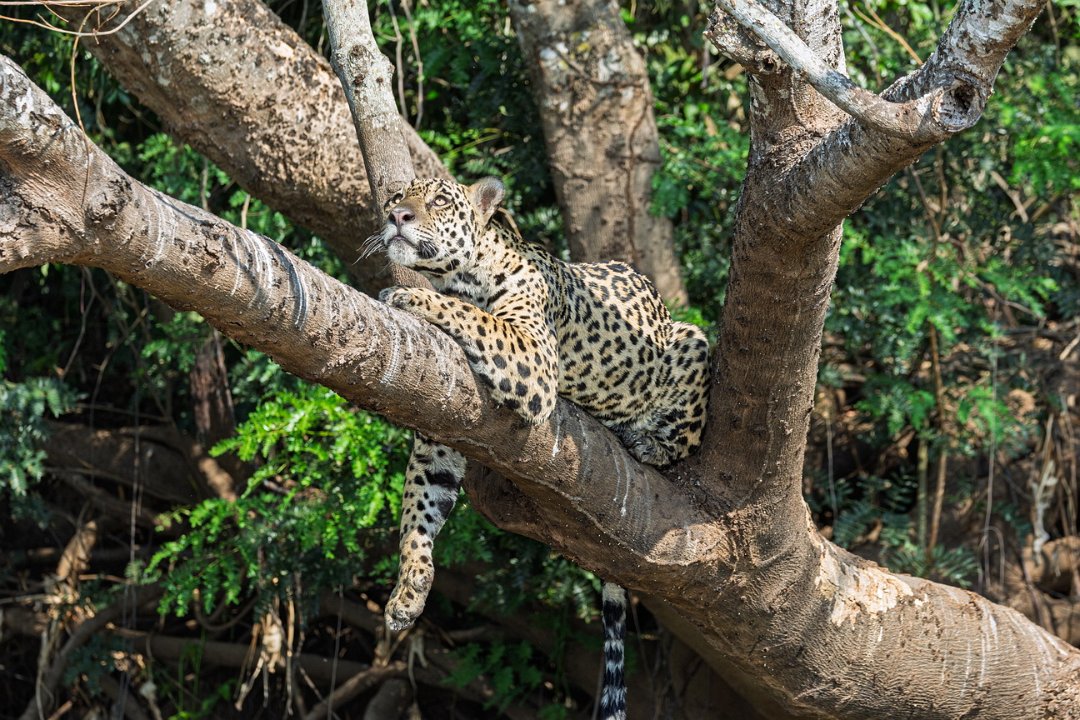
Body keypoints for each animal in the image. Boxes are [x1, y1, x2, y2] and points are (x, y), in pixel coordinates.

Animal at [363, 176, 710, 720]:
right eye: (396, 196)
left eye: (439, 200)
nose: (398, 216)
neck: (462, 277)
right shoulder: (440, 429)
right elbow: (420, 508)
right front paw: (410, 588)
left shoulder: (530, 353)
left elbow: (473, 315)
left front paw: (406, 294)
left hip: (692, 341)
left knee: (685, 439)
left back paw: (644, 442)